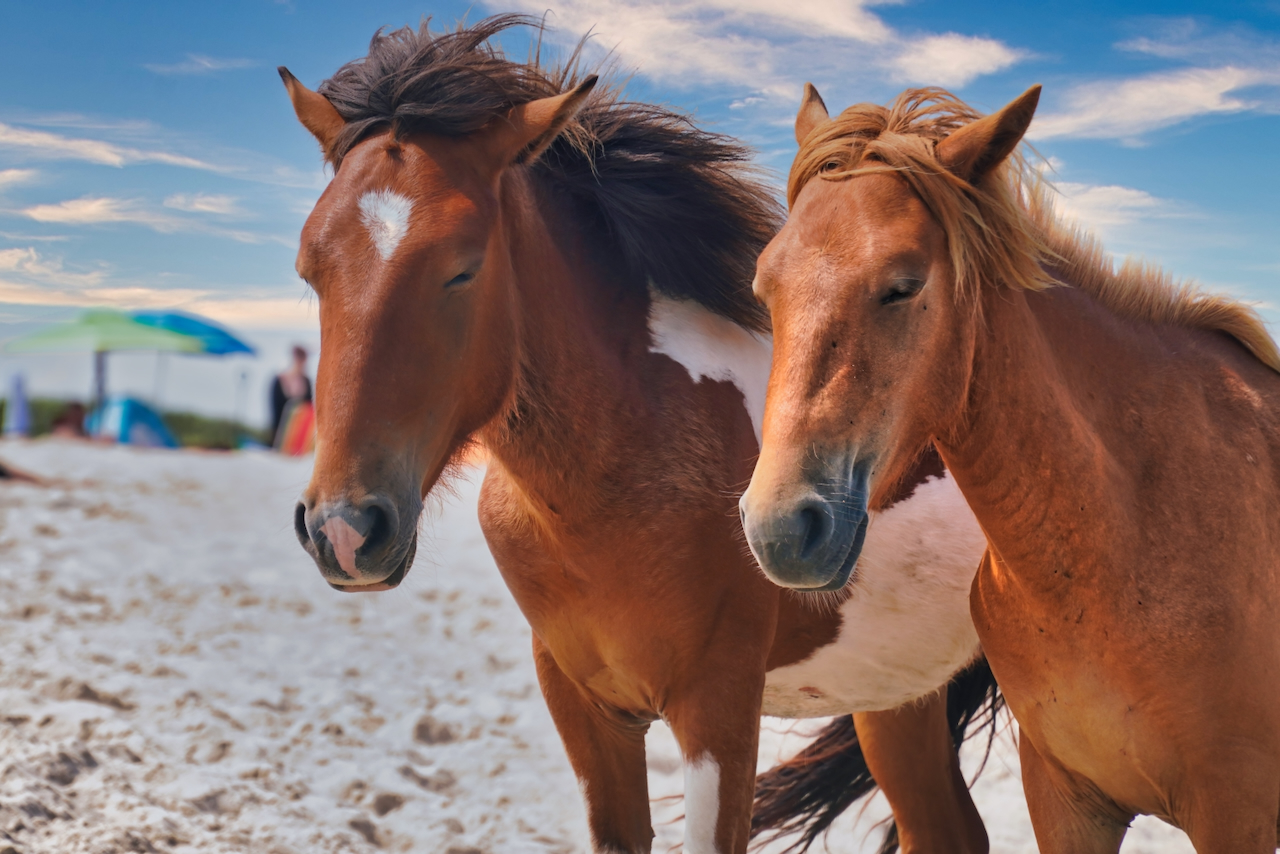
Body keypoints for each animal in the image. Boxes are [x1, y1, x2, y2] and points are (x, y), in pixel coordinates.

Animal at [282, 18, 999, 853]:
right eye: (311, 268)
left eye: (462, 268)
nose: (343, 529)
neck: (624, 466)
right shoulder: (586, 708)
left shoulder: (716, 706)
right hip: (897, 697)